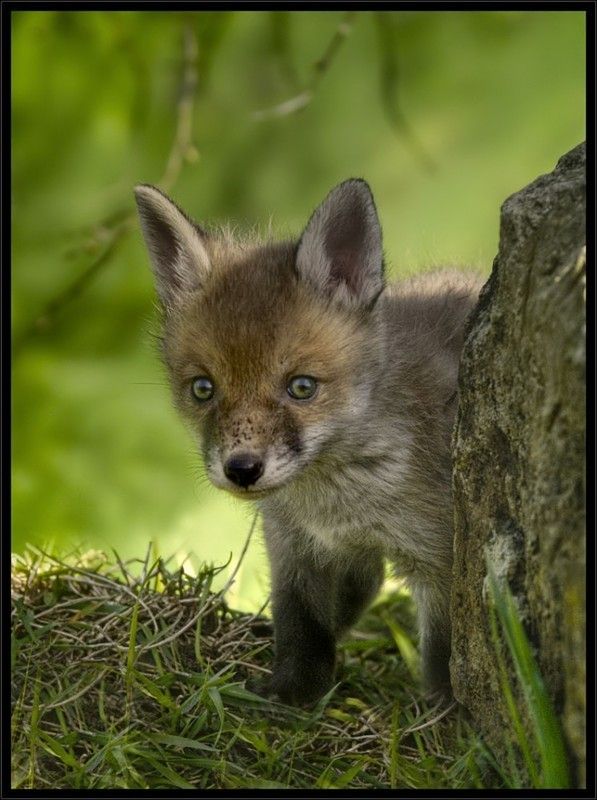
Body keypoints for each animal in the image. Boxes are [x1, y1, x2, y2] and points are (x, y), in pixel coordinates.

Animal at [134, 179, 483, 705]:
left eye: (301, 387)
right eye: (202, 389)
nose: (242, 469)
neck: (333, 498)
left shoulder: (441, 556)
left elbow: (445, 654)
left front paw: (447, 715)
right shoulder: (293, 545)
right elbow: (302, 625)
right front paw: (292, 694)